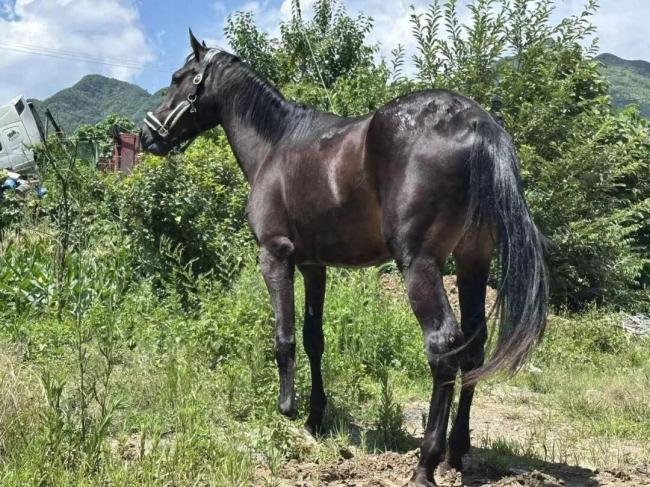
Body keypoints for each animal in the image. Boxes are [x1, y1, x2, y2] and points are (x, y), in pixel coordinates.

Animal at [141, 31, 548, 486]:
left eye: (179, 78)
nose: (147, 136)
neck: (275, 145)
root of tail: (477, 123)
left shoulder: (275, 257)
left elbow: (284, 337)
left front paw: (287, 409)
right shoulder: (313, 266)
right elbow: (313, 338)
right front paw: (316, 417)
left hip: (421, 266)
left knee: (443, 348)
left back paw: (426, 463)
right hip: (473, 260)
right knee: (474, 350)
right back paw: (457, 452)